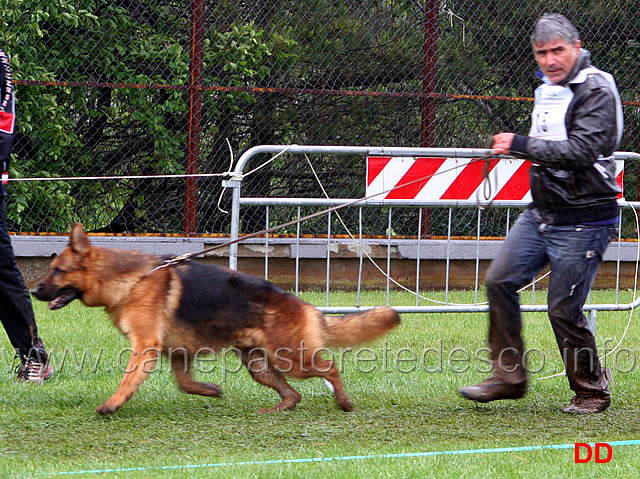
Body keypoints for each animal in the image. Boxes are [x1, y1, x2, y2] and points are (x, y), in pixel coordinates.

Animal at [33, 225, 400, 416]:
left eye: (58, 270)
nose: (34, 290)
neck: (131, 279)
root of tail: (306, 306)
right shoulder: (177, 353)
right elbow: (185, 383)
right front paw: (211, 390)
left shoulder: (145, 346)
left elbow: (127, 380)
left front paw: (112, 404)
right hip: (259, 366)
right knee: (293, 394)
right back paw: (276, 410)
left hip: (291, 359)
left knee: (330, 368)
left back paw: (343, 402)